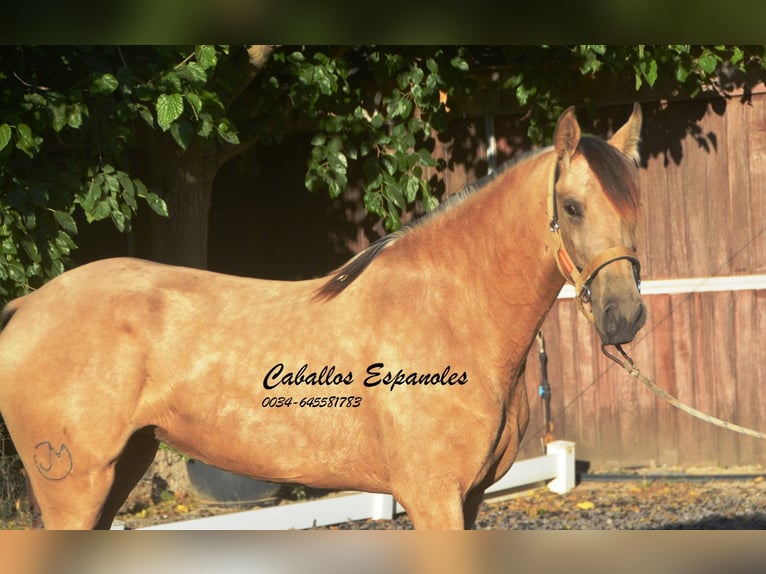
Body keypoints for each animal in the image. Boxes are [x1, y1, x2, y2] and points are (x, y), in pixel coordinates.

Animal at [0, 104, 648, 532]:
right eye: (571, 207)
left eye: (636, 204)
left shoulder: (470, 497)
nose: (624, 317)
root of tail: (25, 307)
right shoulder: (435, 496)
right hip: (74, 488)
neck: (451, 309)